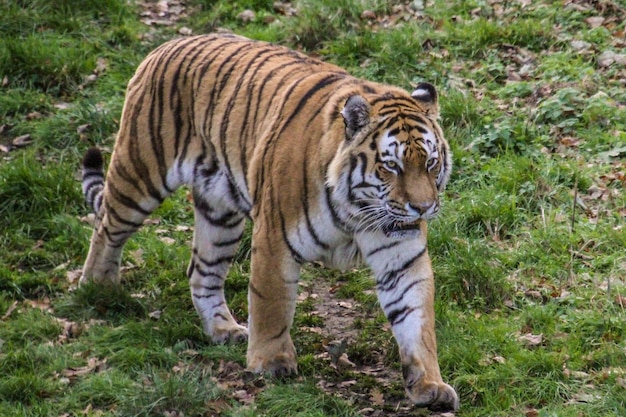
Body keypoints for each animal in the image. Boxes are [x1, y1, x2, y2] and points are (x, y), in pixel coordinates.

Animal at [80, 34, 456, 412]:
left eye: (431, 163)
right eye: (392, 166)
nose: (423, 208)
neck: (357, 210)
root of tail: (169, 43)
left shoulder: (401, 254)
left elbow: (417, 319)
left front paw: (429, 384)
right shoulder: (276, 238)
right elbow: (271, 303)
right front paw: (271, 363)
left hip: (220, 214)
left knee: (201, 271)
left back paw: (224, 330)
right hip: (140, 173)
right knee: (107, 225)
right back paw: (99, 287)